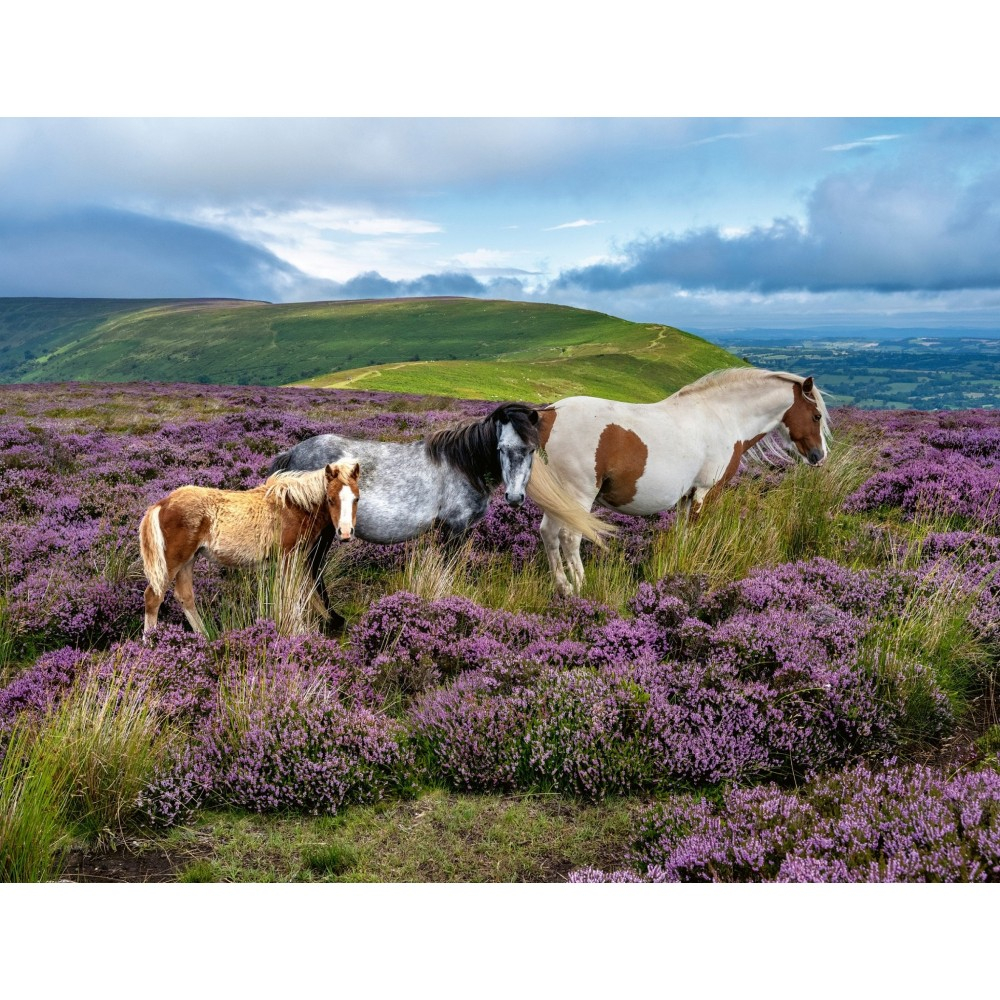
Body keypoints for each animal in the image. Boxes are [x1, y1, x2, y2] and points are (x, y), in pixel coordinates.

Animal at [139, 460, 360, 636]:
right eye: (330, 499)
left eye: (356, 498)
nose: (345, 532)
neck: (294, 506)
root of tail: (161, 504)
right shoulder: (288, 557)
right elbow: (292, 595)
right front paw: (298, 633)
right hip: (173, 560)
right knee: (153, 597)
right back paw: (151, 642)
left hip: (189, 559)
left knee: (185, 596)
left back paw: (205, 639)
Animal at [268, 402, 613, 622]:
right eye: (501, 449)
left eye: (530, 449)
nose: (515, 497)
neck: (464, 464)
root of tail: (292, 454)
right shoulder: (455, 528)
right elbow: (447, 572)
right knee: (312, 568)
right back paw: (332, 619)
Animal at [531, 368, 832, 595]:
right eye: (816, 416)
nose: (820, 456)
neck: (723, 417)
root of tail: (551, 413)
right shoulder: (705, 491)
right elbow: (696, 532)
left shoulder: (687, 495)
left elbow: (683, 535)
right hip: (578, 495)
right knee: (570, 537)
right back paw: (582, 587)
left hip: (559, 499)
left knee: (548, 533)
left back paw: (564, 588)